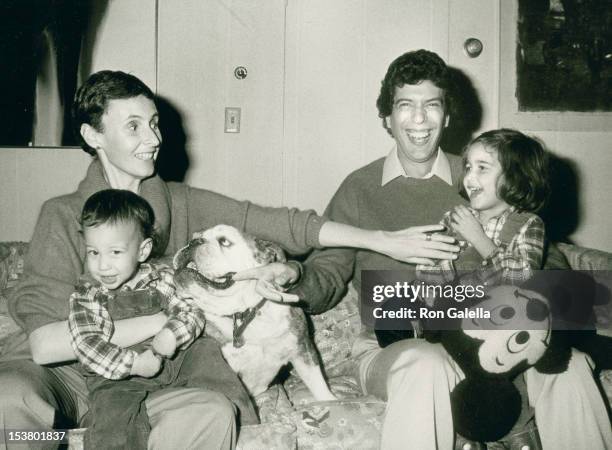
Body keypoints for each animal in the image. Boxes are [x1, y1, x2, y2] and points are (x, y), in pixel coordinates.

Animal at [171, 225, 334, 400]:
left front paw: (330, 400)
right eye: (193, 237)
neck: (243, 313)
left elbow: (317, 382)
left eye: (224, 241)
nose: (192, 242)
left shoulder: (301, 349)